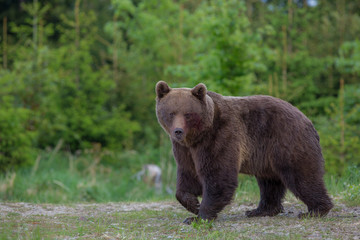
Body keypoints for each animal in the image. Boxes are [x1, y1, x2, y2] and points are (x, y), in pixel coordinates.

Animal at [154, 81, 332, 225]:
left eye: (188, 114)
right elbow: (188, 175)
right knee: (269, 182)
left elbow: (218, 176)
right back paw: (260, 210)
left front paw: (199, 216)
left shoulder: (220, 137)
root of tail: (307, 119)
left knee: (302, 176)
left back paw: (316, 210)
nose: (178, 131)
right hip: (266, 156)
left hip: (287, 141)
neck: (197, 137)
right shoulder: (184, 150)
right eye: (171, 113)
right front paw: (192, 204)